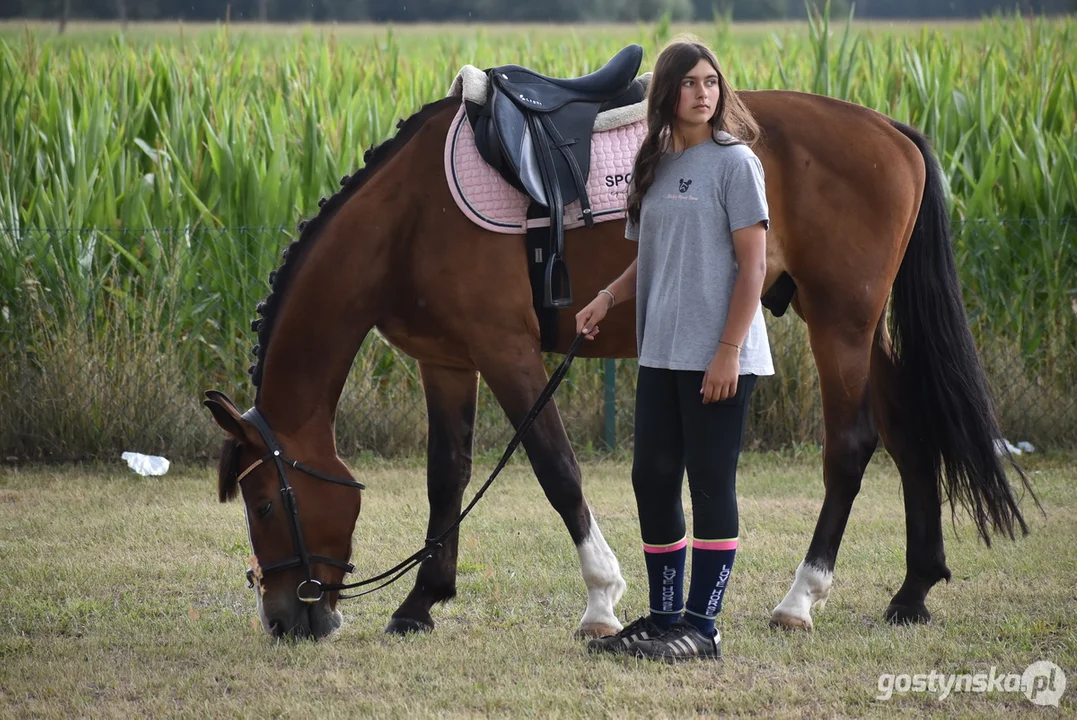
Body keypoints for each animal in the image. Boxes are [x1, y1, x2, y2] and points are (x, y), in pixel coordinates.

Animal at [203, 87, 1033, 637]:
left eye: (266, 504)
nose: (285, 619)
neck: (404, 217)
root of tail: (885, 126)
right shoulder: (447, 362)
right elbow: (447, 478)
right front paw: (420, 601)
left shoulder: (507, 351)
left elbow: (556, 470)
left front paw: (601, 598)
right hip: (859, 327)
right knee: (910, 436)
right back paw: (911, 592)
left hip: (840, 322)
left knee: (852, 447)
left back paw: (801, 597)